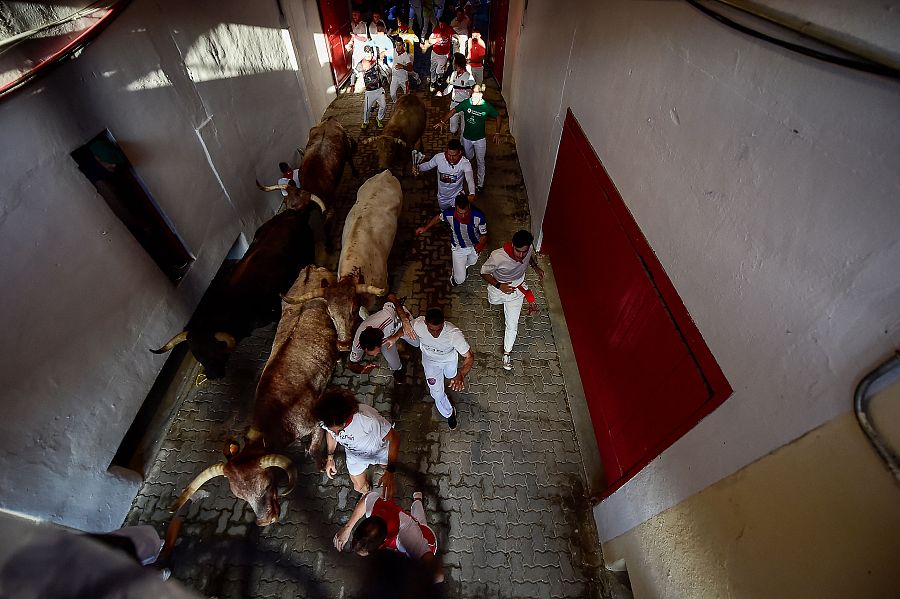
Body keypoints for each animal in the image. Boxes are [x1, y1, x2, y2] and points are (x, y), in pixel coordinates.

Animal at [149, 207, 314, 380]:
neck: (234, 301)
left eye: (216, 352)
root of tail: (291, 213)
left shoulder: (274, 309)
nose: (212, 375)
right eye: (197, 355)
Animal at [171, 268, 340, 524]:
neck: (275, 413)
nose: (265, 520)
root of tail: (312, 268)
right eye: (241, 497)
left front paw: (321, 463)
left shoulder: (314, 420)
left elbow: (313, 449)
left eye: (267, 484)